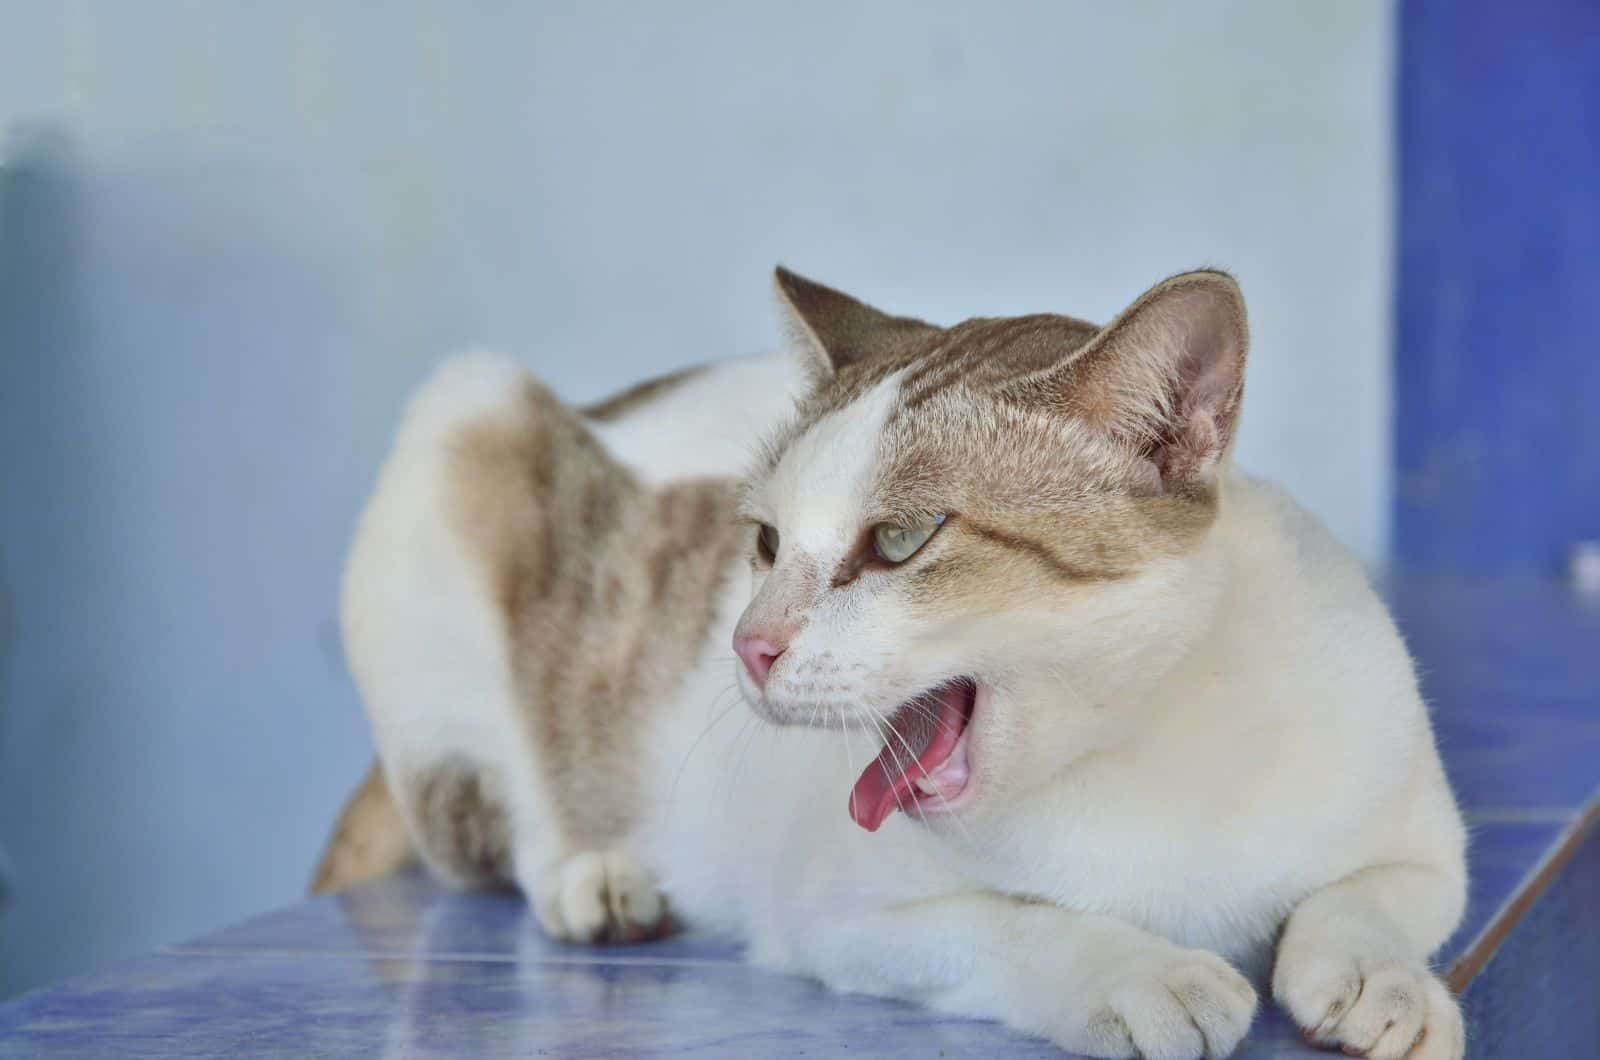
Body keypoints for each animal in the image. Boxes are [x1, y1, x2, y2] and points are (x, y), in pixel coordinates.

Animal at [315, 267, 1472, 1060]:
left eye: (901, 540)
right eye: (765, 544)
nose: (747, 644)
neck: (1137, 748)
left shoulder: (1425, 839)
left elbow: (1366, 899)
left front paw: (1383, 983)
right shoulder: (845, 915)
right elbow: (1026, 926)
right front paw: (1144, 973)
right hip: (461, 418)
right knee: (496, 824)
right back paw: (597, 878)